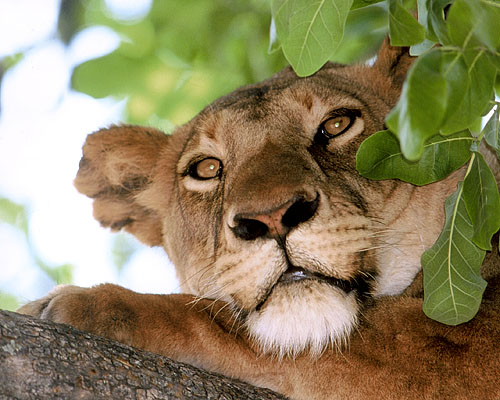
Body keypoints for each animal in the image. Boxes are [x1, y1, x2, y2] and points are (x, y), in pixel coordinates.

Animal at [17, 41, 498, 400]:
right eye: (207, 168)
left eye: (336, 125)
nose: (271, 218)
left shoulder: (459, 339)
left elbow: (217, 320)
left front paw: (86, 303)